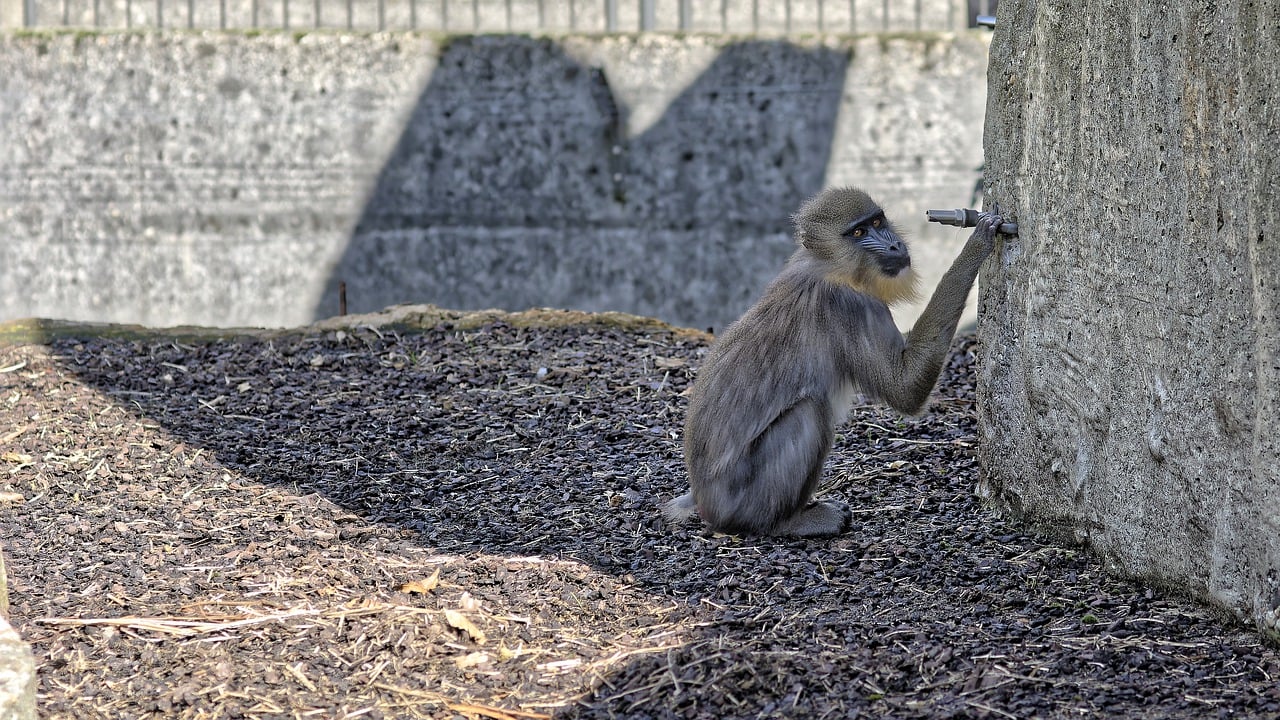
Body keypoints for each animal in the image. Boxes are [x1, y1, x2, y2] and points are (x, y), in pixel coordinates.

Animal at [665, 188, 1003, 535]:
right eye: (858, 233)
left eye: (877, 222)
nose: (894, 245)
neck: (831, 265)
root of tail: (702, 499)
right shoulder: (852, 305)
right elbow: (905, 389)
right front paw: (975, 246)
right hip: (742, 497)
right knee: (809, 413)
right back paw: (790, 522)